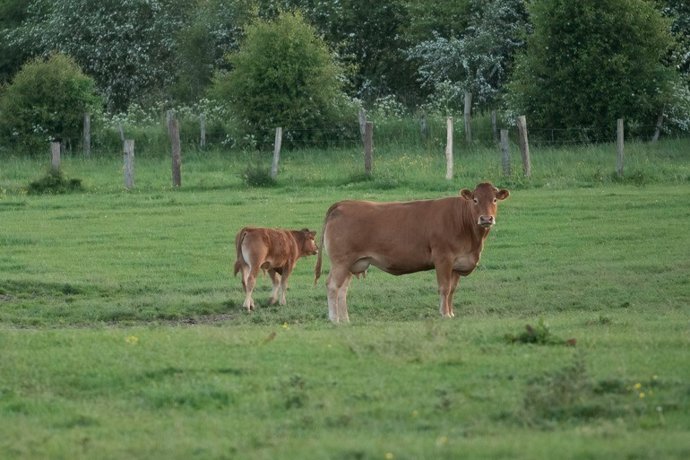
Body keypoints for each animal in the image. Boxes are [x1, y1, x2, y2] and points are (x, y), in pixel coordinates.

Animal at [314, 182, 509, 323]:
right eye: (475, 200)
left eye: (494, 200)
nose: (486, 219)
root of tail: (343, 204)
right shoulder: (443, 258)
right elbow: (444, 288)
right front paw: (444, 314)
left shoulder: (457, 263)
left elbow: (452, 290)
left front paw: (451, 313)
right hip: (341, 262)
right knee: (332, 286)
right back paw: (334, 319)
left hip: (352, 263)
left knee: (342, 289)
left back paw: (345, 319)